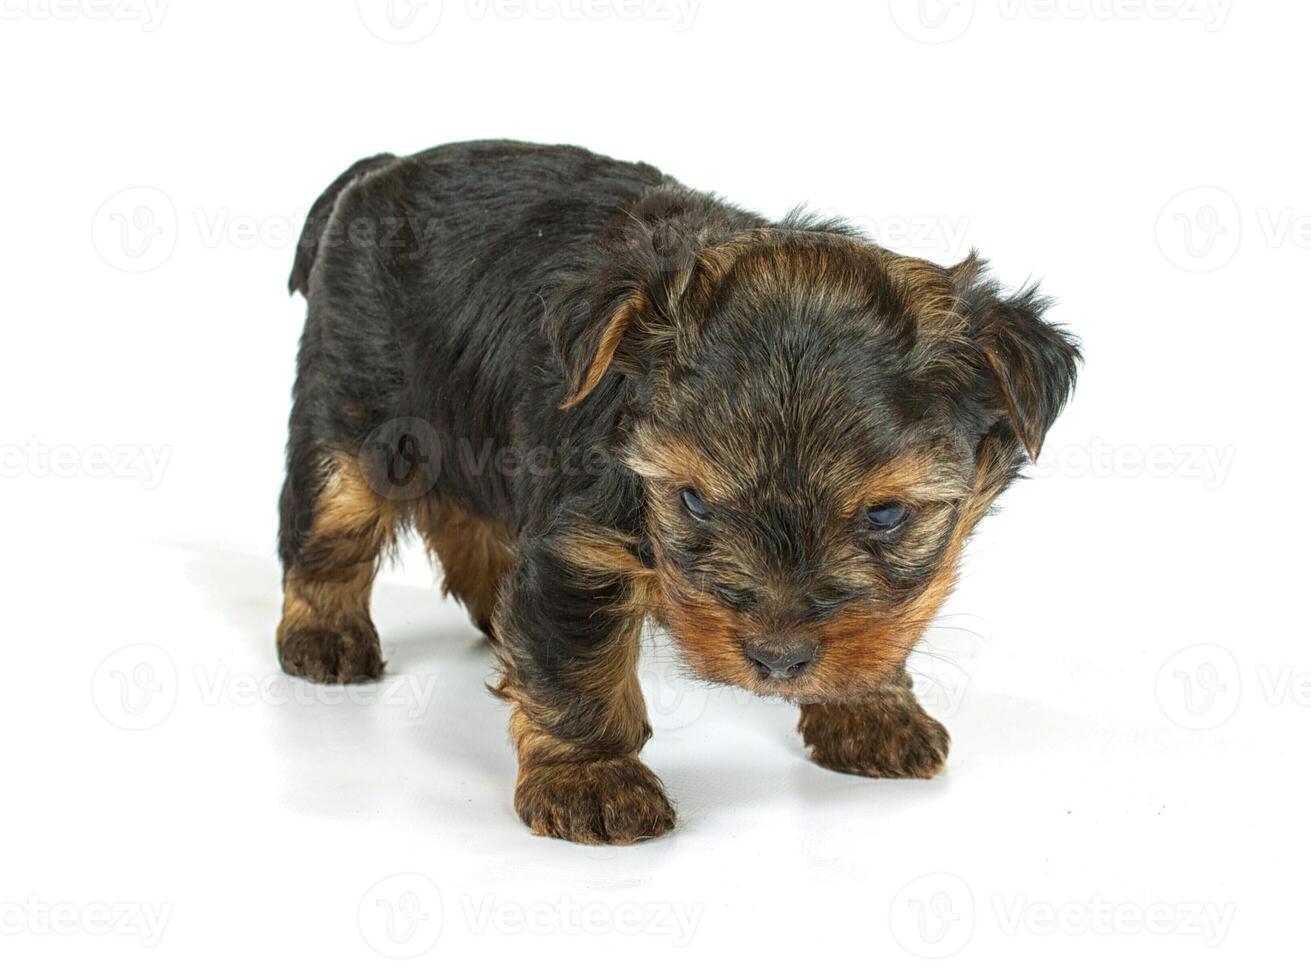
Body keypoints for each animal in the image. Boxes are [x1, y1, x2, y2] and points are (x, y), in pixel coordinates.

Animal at [273, 137, 1075, 843]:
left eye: (884, 515)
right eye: (693, 502)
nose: (778, 659)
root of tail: (382, 170)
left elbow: (875, 624)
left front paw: (867, 711)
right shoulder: (578, 550)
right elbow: (576, 669)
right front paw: (591, 781)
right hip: (357, 418)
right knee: (329, 524)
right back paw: (325, 635)